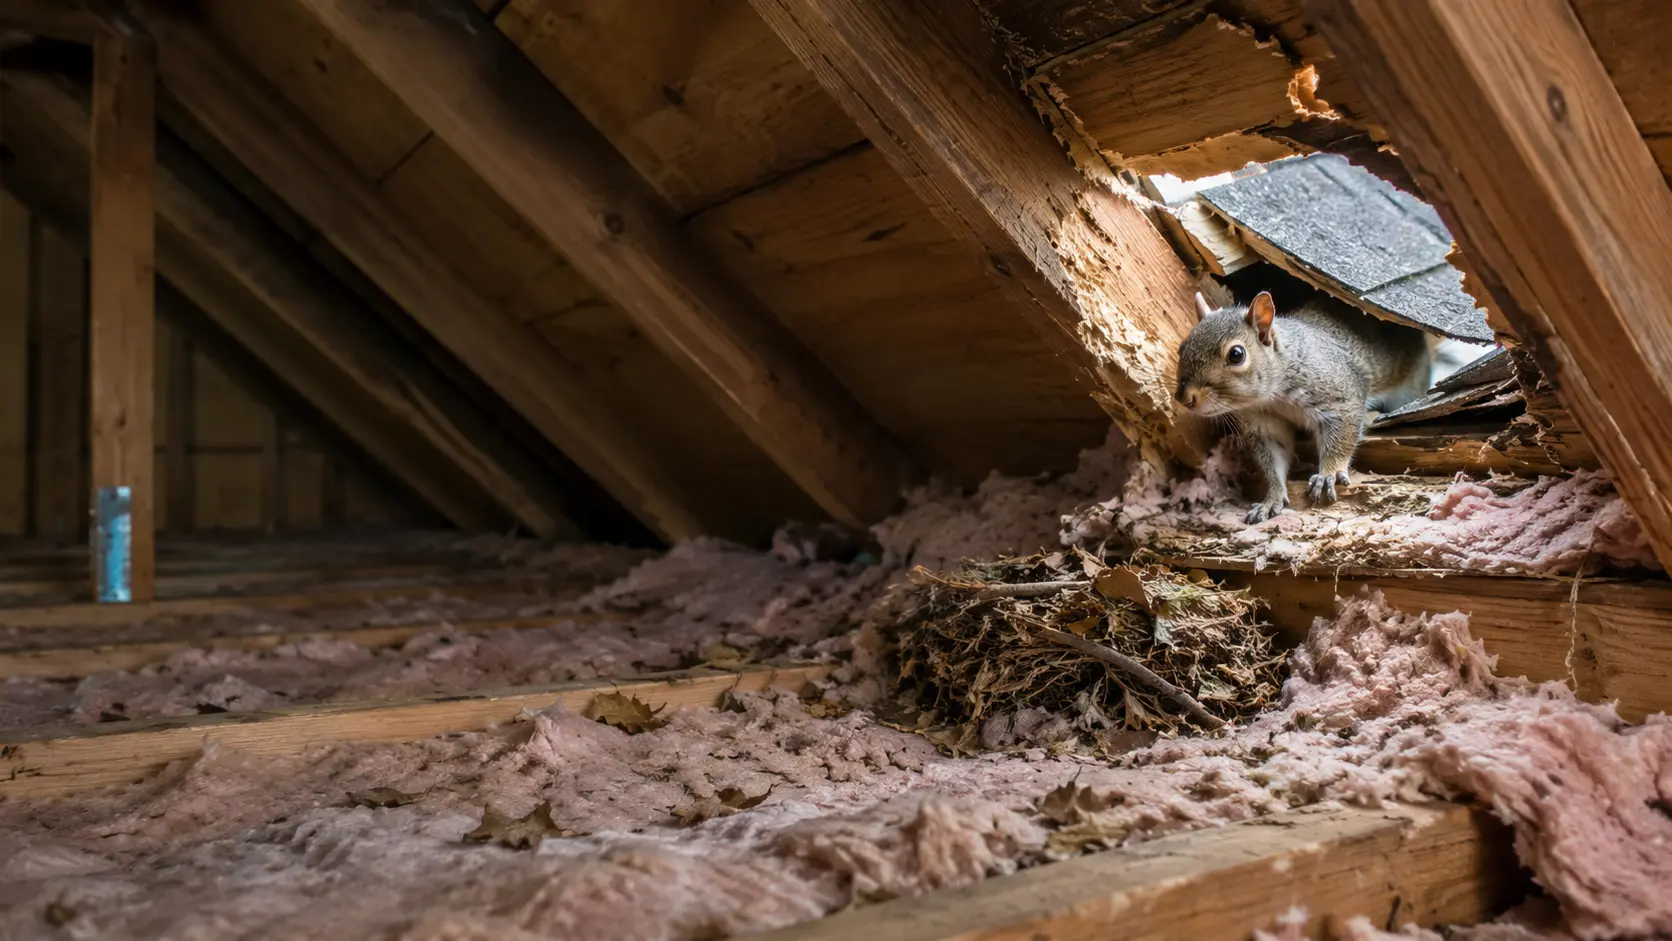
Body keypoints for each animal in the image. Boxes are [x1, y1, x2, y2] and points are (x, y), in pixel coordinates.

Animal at [1173, 290, 1432, 523]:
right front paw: (1272, 498)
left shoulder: (1340, 398)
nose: (1185, 398)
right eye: (1181, 348)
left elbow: (1341, 437)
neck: (1273, 396)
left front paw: (1328, 475)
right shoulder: (1264, 423)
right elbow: (1273, 461)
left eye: (1236, 355)